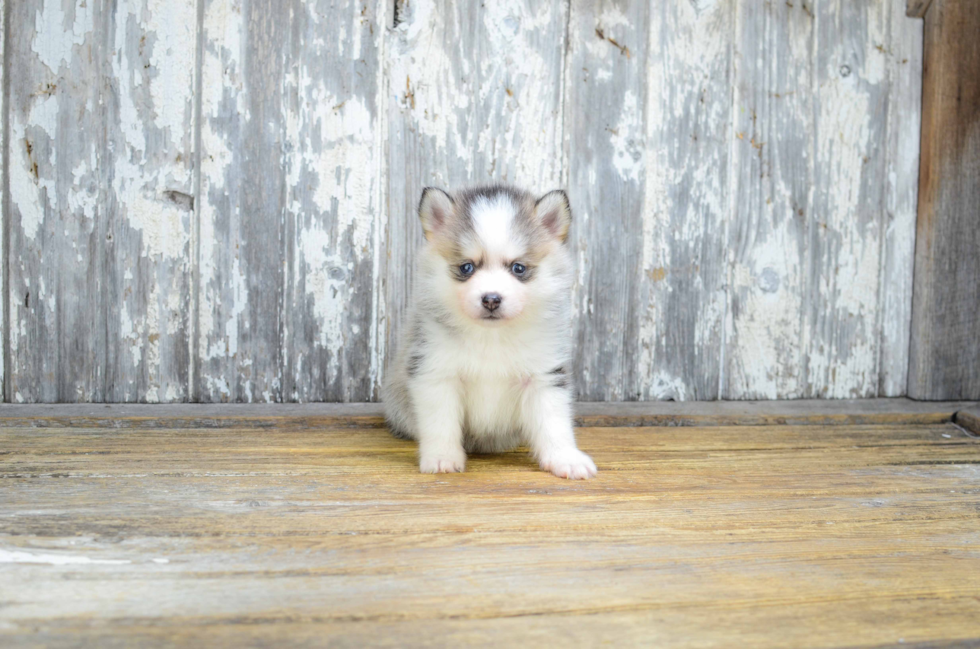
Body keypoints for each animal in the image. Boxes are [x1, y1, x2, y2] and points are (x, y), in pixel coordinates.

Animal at [382, 182, 596, 476]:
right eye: (466, 267)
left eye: (518, 268)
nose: (492, 299)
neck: (492, 337)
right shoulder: (436, 373)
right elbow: (440, 424)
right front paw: (442, 457)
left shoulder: (543, 377)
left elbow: (554, 423)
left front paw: (565, 458)